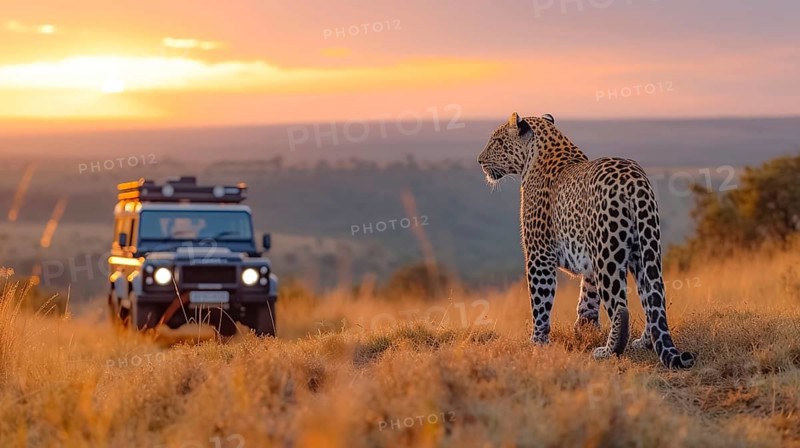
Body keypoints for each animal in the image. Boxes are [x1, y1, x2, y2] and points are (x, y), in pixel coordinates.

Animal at [477, 112, 695, 369]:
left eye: (497, 141)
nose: (479, 160)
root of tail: (635, 180)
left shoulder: (539, 254)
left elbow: (540, 302)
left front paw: (537, 343)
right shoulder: (588, 260)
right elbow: (587, 299)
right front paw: (584, 330)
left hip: (607, 255)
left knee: (620, 307)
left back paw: (608, 350)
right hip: (645, 248)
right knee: (654, 297)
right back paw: (645, 342)